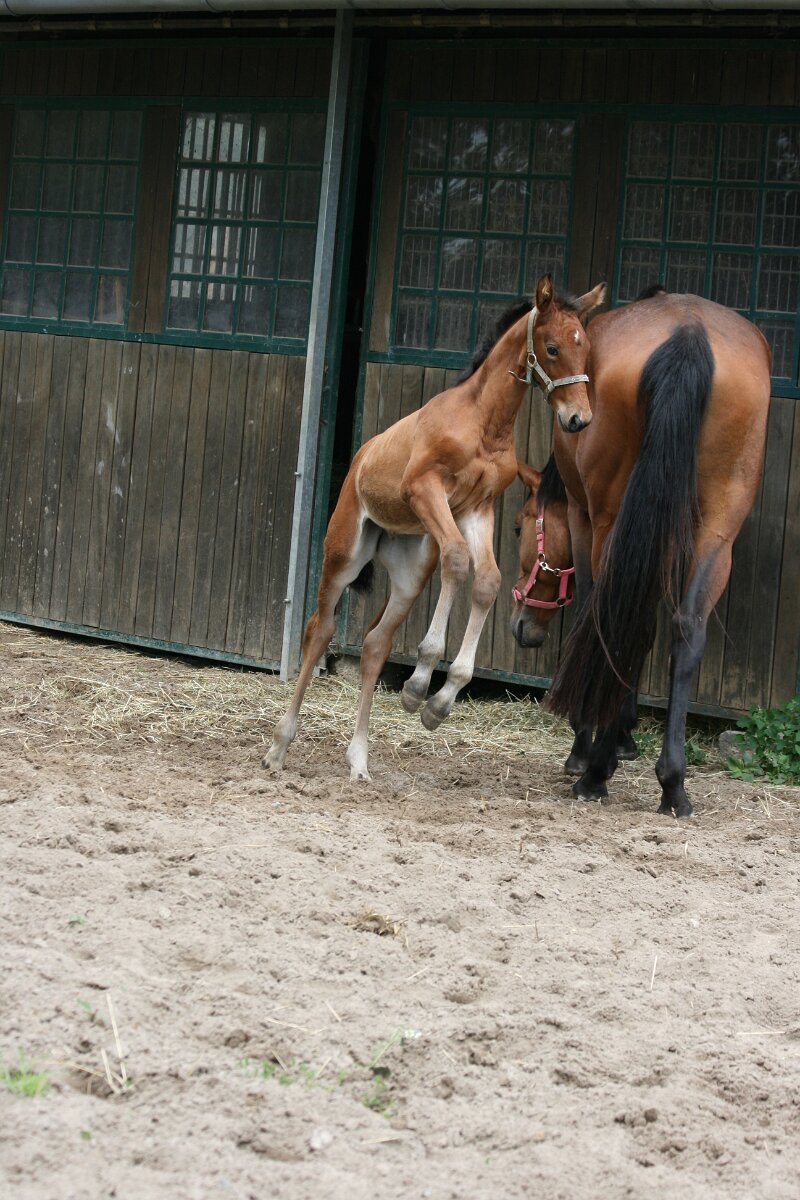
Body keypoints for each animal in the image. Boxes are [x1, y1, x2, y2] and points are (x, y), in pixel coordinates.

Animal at [264, 274, 607, 781]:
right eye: (551, 347)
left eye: (585, 350)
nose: (578, 419)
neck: (484, 422)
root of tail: (359, 461)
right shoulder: (426, 490)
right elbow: (459, 561)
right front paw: (422, 679)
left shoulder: (477, 508)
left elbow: (486, 580)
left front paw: (435, 702)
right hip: (344, 554)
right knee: (319, 629)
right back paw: (279, 746)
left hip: (409, 573)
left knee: (374, 644)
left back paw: (359, 760)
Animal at [540, 289, 772, 817]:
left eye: (523, 528)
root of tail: (688, 332)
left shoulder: (584, 518)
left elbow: (590, 607)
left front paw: (587, 745)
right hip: (718, 531)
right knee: (685, 629)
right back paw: (672, 783)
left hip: (610, 521)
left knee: (617, 618)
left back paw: (595, 771)